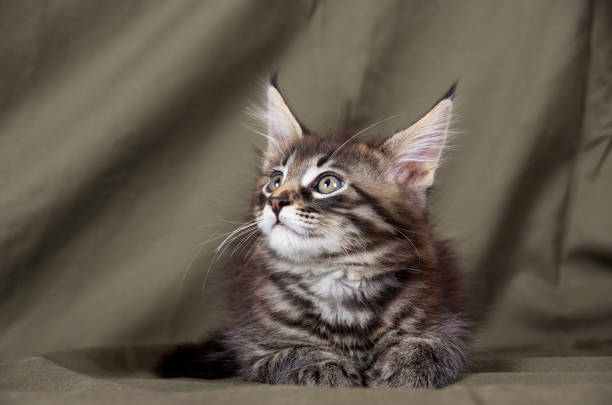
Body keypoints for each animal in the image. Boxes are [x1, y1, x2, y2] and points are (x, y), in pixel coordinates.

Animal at [158, 76, 468, 388]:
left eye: (328, 183)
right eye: (275, 181)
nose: (275, 201)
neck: (336, 276)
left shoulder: (446, 326)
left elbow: (431, 346)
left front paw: (405, 366)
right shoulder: (254, 348)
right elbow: (293, 351)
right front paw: (324, 366)